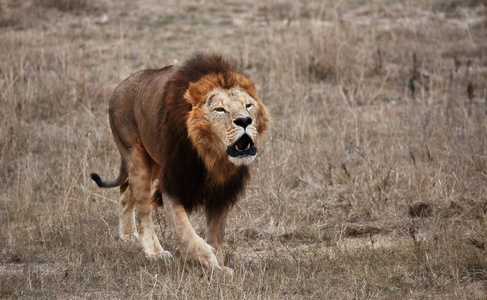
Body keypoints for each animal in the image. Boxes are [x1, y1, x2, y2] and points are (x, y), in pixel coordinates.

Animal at [90, 53, 270, 274]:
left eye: (248, 106)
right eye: (220, 109)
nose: (244, 120)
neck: (212, 156)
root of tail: (119, 87)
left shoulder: (222, 191)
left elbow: (216, 232)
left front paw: (218, 264)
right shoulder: (173, 183)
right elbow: (184, 231)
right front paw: (208, 262)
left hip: (155, 163)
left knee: (125, 193)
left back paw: (128, 236)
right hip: (136, 157)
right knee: (143, 209)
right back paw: (155, 252)